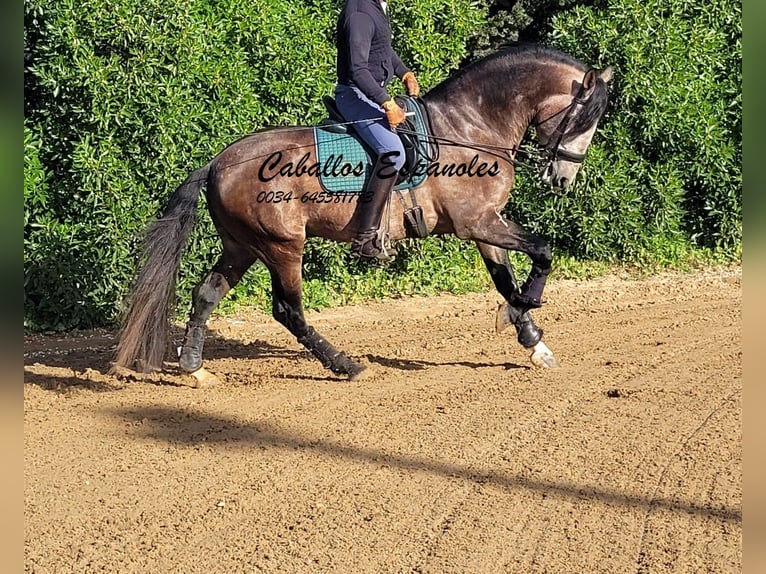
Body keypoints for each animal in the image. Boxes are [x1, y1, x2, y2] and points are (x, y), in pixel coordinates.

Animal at [114, 44, 616, 382]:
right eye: (584, 118)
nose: (562, 180)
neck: (470, 126)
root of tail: (218, 162)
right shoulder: (479, 222)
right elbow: (543, 252)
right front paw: (525, 308)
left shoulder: (483, 224)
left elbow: (505, 277)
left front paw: (532, 340)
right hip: (282, 246)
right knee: (288, 311)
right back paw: (345, 365)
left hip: (243, 246)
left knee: (206, 294)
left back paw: (193, 367)